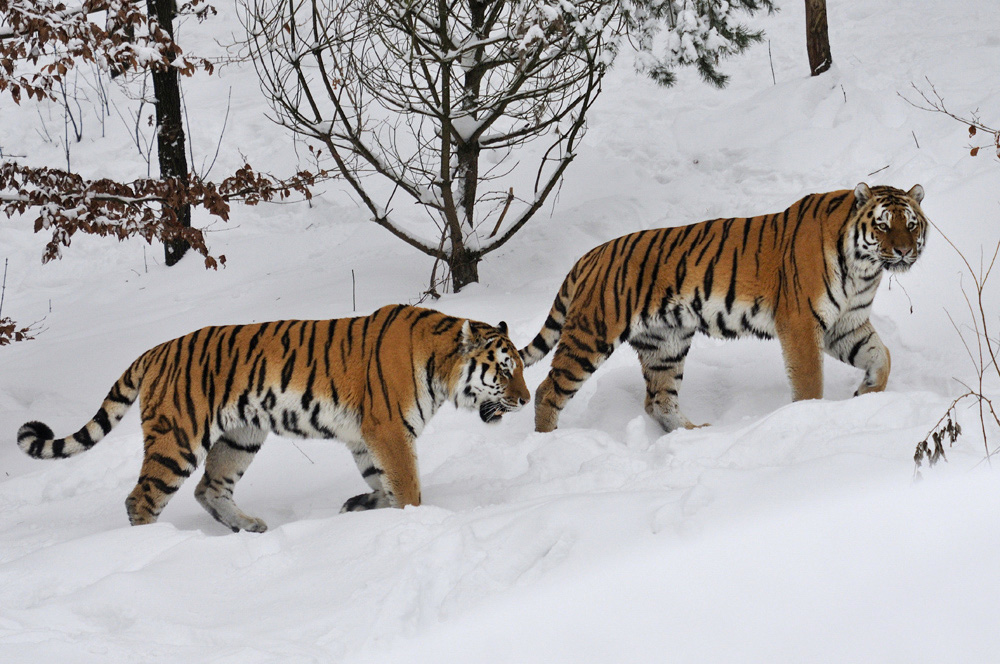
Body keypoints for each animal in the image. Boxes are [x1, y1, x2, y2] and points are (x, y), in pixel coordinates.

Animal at [17, 304, 532, 532]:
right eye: (506, 370)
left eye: (522, 368)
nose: (526, 400)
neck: (442, 367)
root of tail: (156, 350)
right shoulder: (388, 430)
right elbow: (407, 487)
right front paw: (416, 521)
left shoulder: (366, 436)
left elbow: (381, 484)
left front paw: (361, 507)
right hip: (177, 439)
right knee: (141, 499)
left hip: (241, 436)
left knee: (209, 488)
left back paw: (249, 527)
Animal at [524, 185, 928, 436]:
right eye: (882, 225)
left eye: (911, 224)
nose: (904, 251)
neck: (864, 270)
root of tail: (590, 255)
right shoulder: (801, 322)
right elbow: (810, 380)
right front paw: (810, 416)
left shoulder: (845, 323)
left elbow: (881, 356)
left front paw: (868, 393)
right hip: (593, 333)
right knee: (548, 390)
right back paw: (548, 442)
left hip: (665, 343)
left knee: (659, 399)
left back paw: (692, 435)